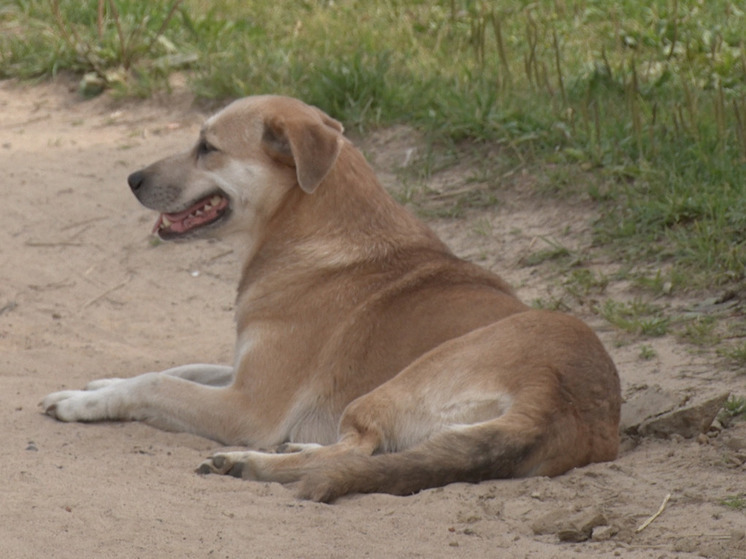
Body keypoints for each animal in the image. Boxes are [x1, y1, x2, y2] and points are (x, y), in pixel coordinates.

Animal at [42, 95, 620, 504]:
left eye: (207, 146)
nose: (132, 179)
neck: (309, 229)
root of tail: (562, 398)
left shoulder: (248, 407)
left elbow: (156, 383)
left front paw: (82, 402)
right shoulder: (242, 372)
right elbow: (178, 367)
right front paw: (101, 383)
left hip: (394, 386)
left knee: (353, 450)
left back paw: (251, 462)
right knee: (356, 455)